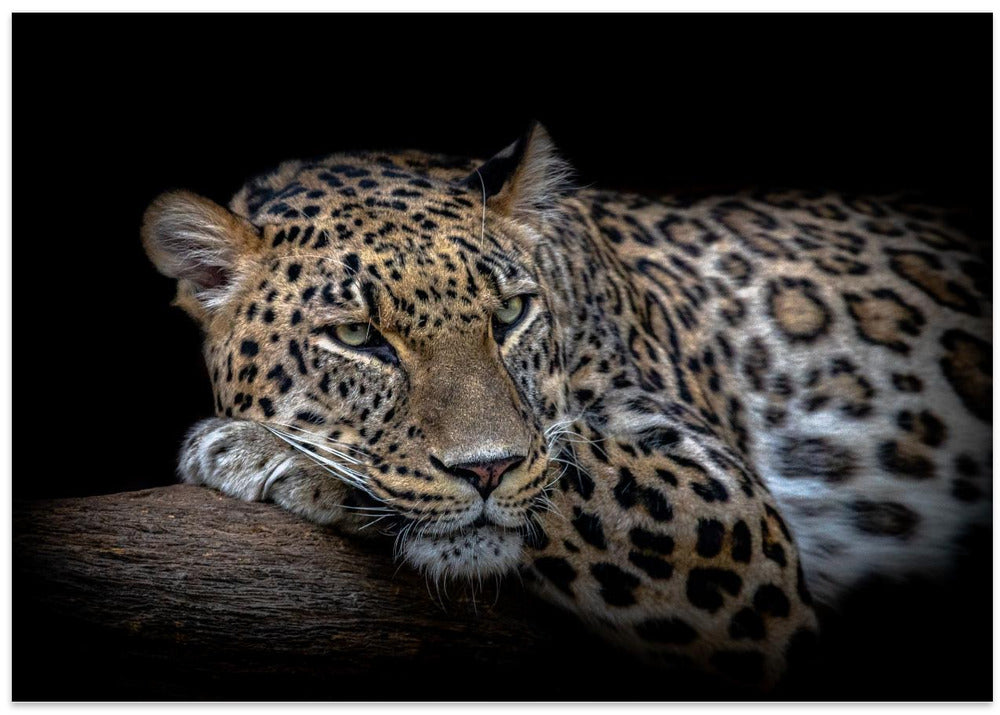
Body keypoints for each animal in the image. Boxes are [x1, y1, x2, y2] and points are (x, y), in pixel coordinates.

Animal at [141, 123, 991, 692]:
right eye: (357, 335)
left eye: (512, 313)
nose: (487, 469)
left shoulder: (727, 510)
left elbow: (571, 466)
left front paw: (265, 451)